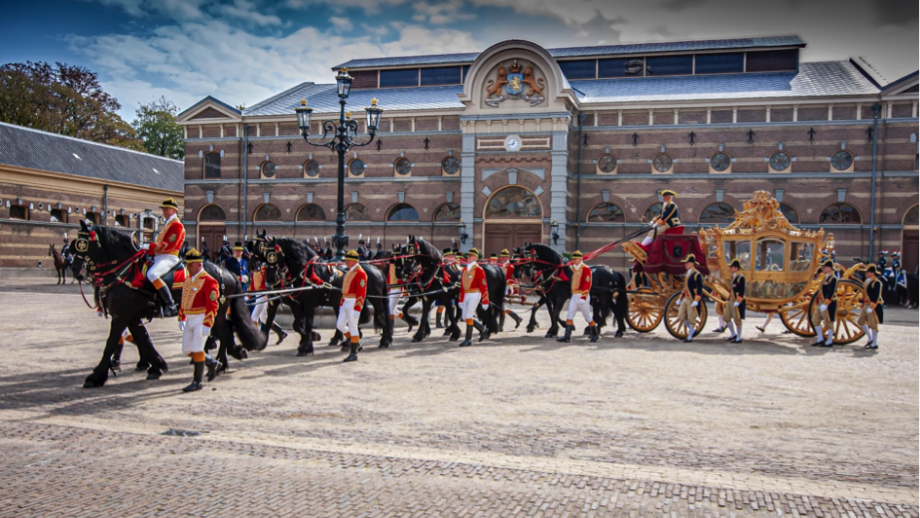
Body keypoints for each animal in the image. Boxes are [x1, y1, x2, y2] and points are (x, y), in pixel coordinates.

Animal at [67, 221, 262, 388]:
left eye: (83, 243)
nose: (75, 269)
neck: (125, 272)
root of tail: (225, 271)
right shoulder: (132, 317)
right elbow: (144, 339)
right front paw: (157, 365)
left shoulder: (121, 315)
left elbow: (111, 343)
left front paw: (96, 376)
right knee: (225, 330)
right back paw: (224, 359)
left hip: (216, 311)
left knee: (224, 331)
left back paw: (225, 359)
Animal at [262, 237, 392, 362]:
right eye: (264, 254)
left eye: (272, 254)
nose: (270, 278)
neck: (308, 272)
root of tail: (377, 270)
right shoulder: (301, 304)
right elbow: (296, 324)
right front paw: (310, 340)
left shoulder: (309, 304)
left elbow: (307, 325)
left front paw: (307, 346)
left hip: (375, 299)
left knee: (381, 316)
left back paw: (384, 341)